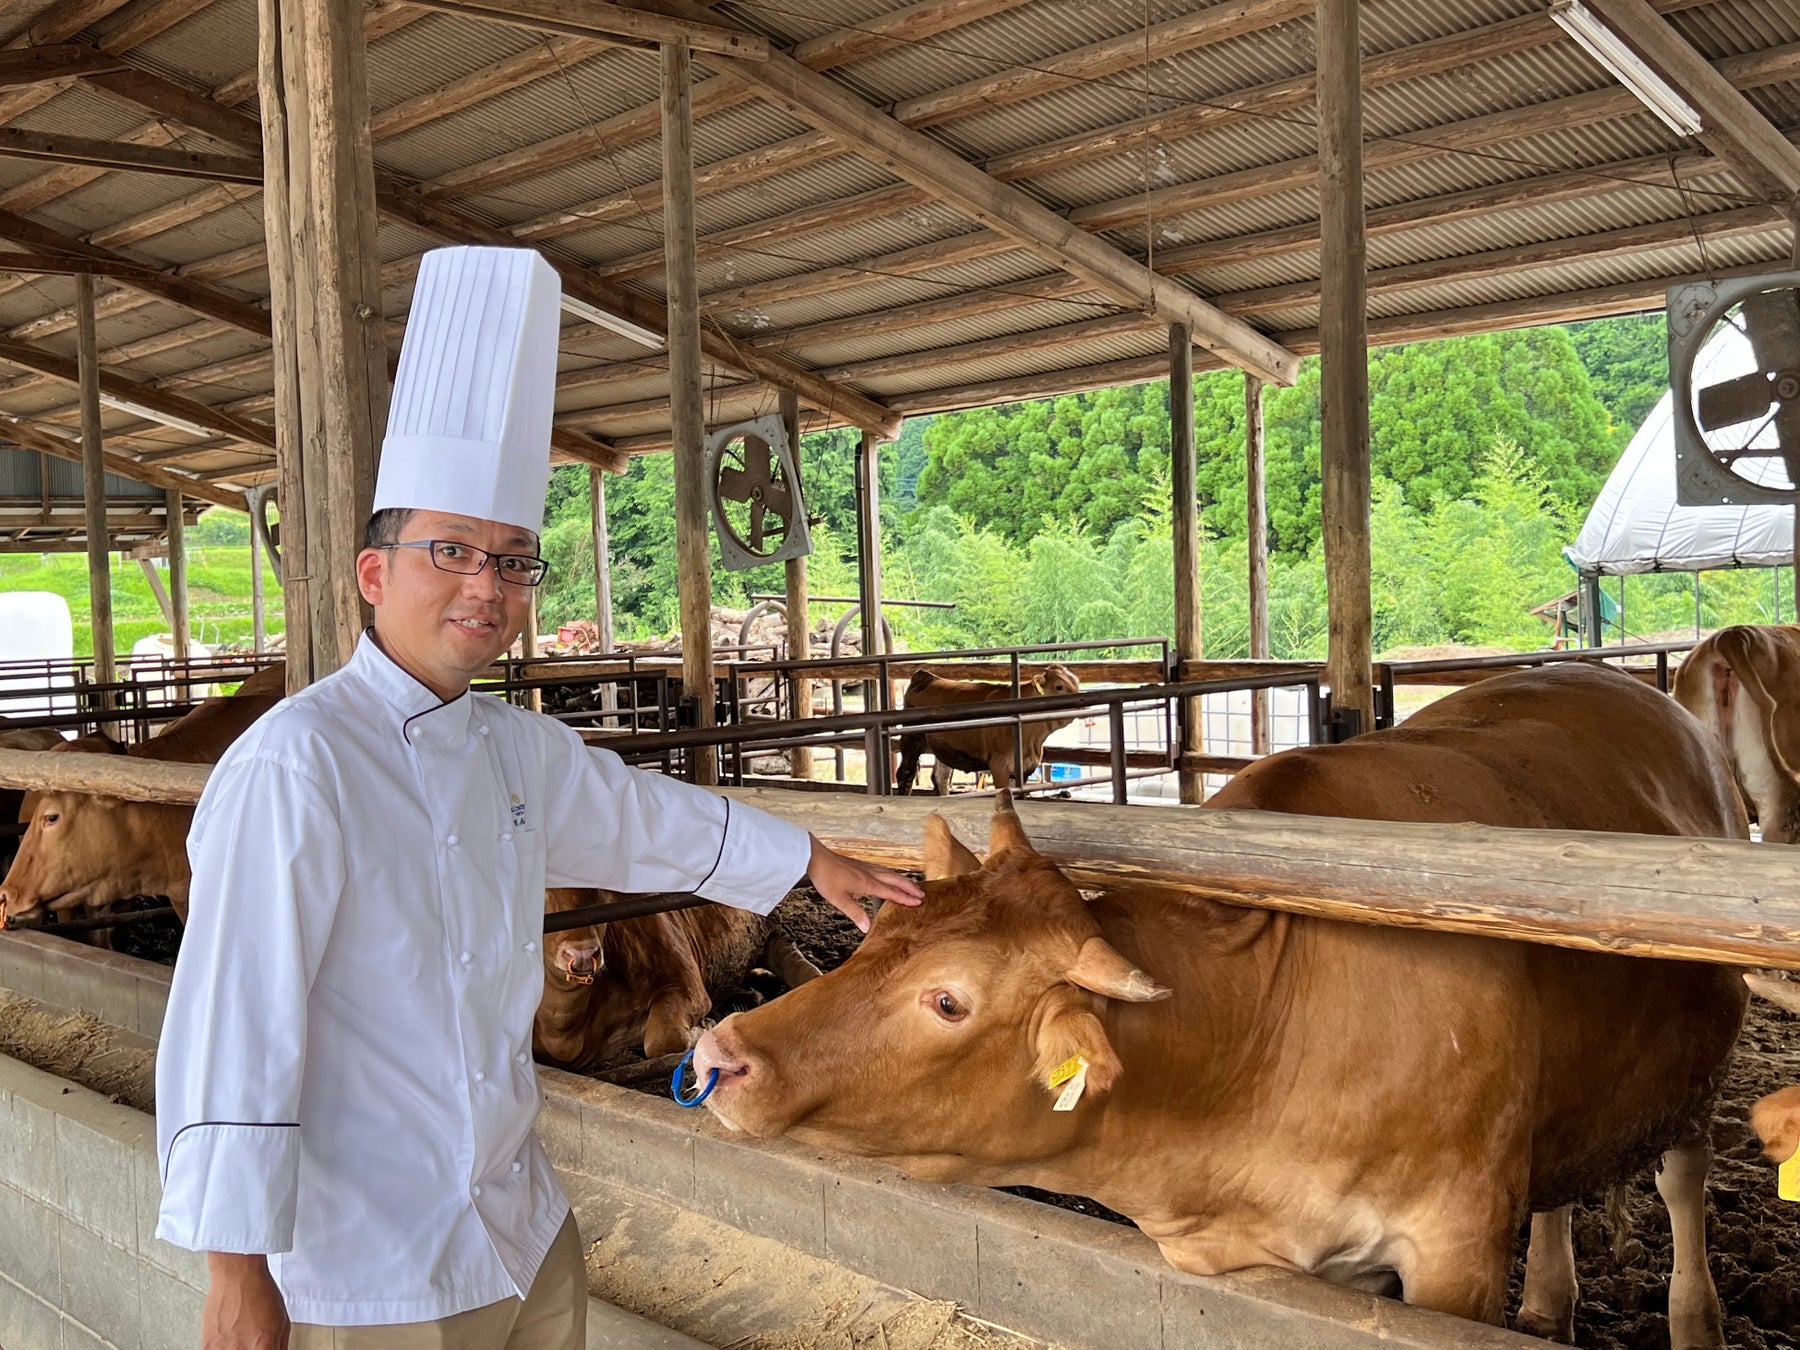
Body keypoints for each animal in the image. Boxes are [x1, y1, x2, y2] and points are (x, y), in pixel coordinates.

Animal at [529, 892, 820, 1072]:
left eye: (598, 891)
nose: (582, 953)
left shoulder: (686, 982)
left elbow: (662, 1039)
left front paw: (706, 1027)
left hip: (770, 929)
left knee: (797, 964)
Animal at [892, 662, 1072, 799]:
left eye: (1074, 682)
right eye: (1059, 686)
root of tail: (925, 676)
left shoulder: (1024, 769)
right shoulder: (1000, 766)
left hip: (943, 749)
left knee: (940, 777)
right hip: (912, 740)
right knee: (906, 773)